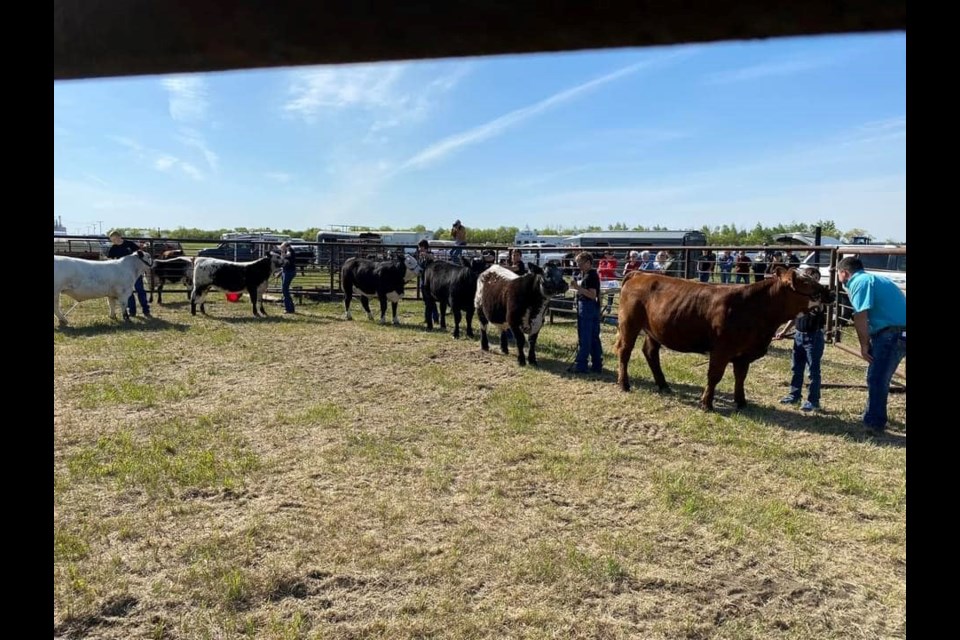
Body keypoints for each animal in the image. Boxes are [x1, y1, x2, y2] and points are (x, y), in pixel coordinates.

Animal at [616, 266, 832, 410]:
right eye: (805, 283)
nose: (828, 291)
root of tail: (640, 274)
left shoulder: (744, 354)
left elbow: (740, 376)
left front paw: (741, 401)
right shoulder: (721, 349)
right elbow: (714, 375)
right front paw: (706, 403)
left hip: (655, 330)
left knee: (650, 352)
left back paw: (663, 385)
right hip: (629, 323)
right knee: (625, 352)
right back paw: (624, 384)